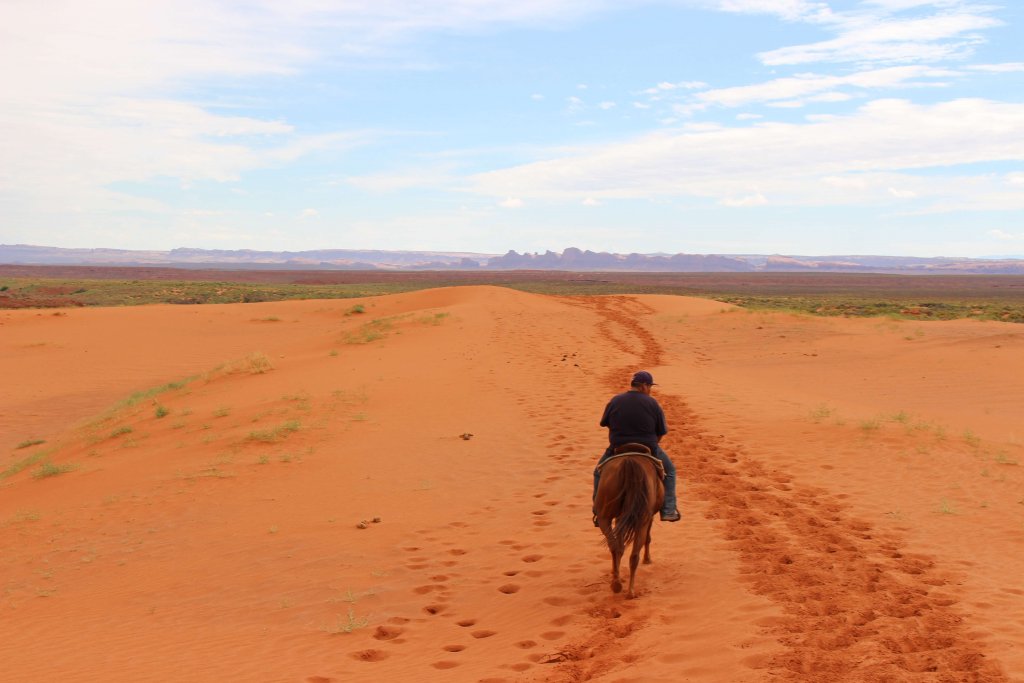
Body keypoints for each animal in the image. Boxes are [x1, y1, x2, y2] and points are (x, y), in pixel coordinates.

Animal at [593, 444, 663, 598]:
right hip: (642, 520)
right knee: (634, 553)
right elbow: (648, 538)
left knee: (616, 547)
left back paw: (617, 584)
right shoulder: (648, 517)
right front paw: (647, 559)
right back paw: (630, 591)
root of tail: (629, 462)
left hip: (604, 517)